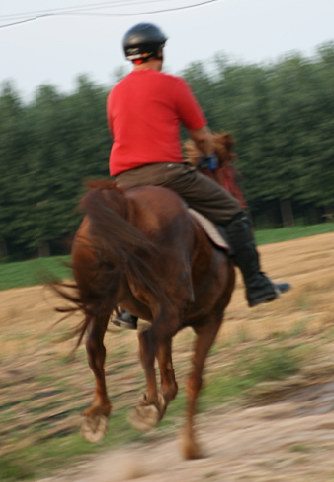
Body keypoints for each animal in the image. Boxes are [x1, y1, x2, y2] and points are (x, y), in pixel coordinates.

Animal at [62, 178, 235, 460]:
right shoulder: (210, 319)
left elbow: (169, 373)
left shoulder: (167, 320)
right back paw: (149, 407)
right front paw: (191, 445)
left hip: (103, 304)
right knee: (145, 340)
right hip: (171, 309)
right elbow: (194, 380)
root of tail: (126, 203)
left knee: (96, 348)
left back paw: (99, 415)